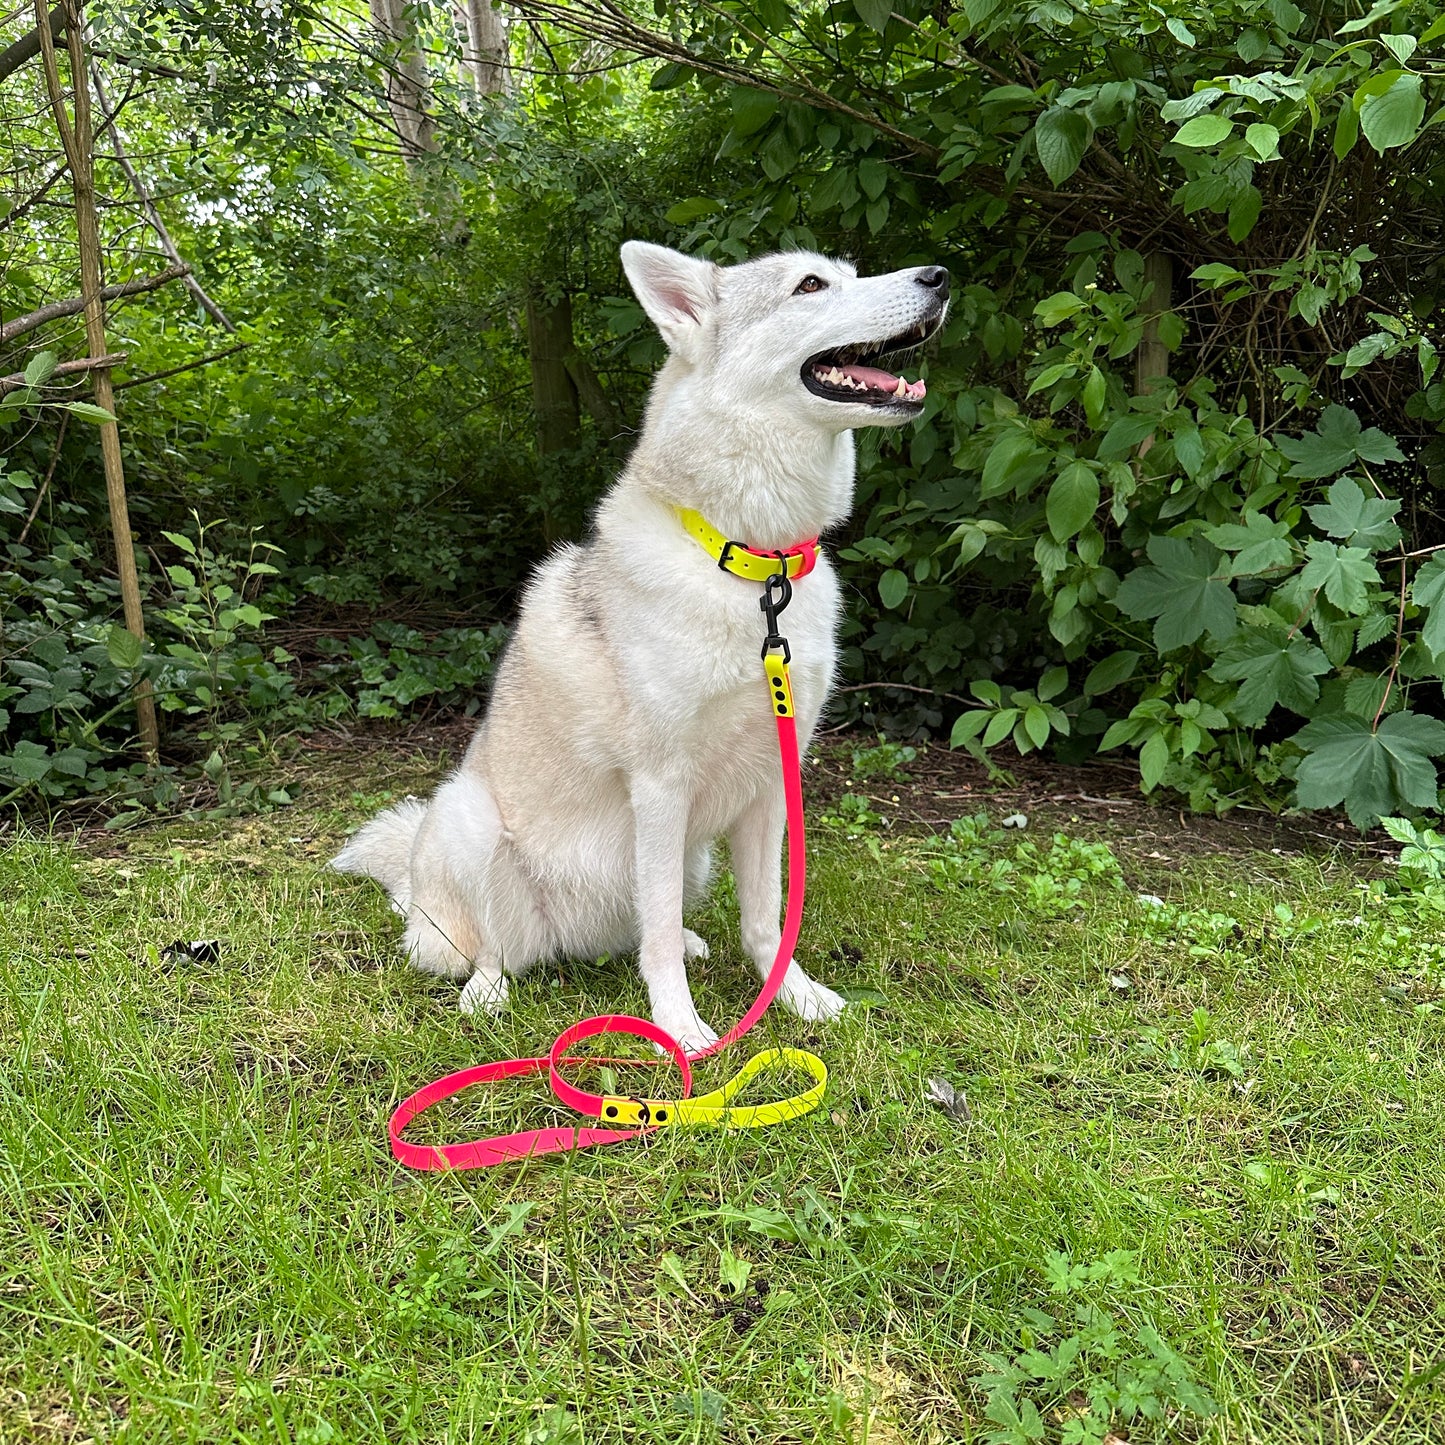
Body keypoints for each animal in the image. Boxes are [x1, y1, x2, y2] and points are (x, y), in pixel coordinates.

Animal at [333, 239, 953, 1051]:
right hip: (473, 826)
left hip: (691, 857)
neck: (751, 567)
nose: (940, 278)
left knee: (637, 928)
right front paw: (682, 1030)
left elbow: (765, 922)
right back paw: (486, 992)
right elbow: (656, 940)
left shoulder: (769, 785)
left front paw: (792, 996)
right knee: (501, 948)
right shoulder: (661, 787)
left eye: (848, 273)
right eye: (811, 285)